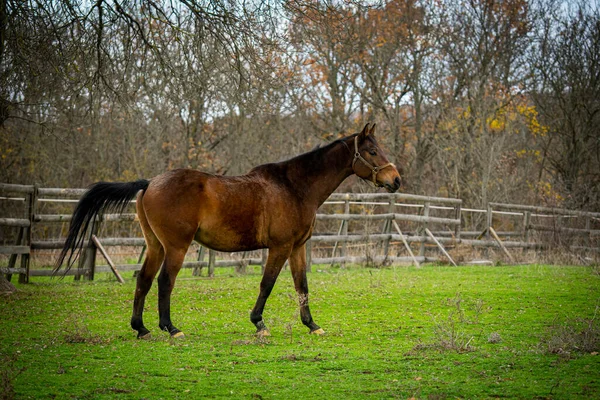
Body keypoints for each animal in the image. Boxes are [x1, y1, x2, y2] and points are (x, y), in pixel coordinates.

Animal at [56, 123, 400, 340]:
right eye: (371, 151)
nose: (395, 179)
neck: (294, 187)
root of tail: (150, 183)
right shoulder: (280, 247)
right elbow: (267, 284)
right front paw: (259, 323)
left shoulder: (298, 247)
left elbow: (302, 285)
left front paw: (312, 325)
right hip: (176, 247)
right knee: (165, 281)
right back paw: (171, 328)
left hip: (155, 246)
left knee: (144, 279)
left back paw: (141, 328)